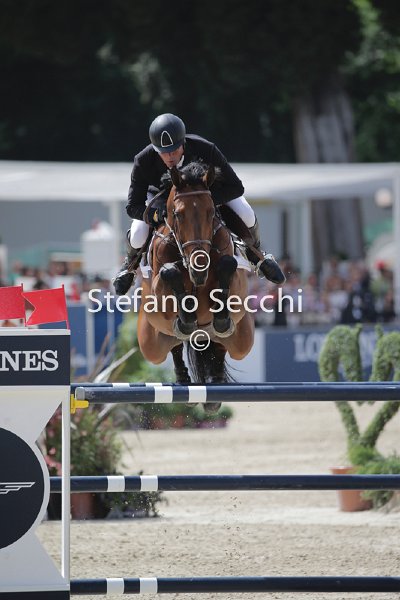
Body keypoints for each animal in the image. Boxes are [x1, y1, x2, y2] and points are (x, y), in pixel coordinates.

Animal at [137, 161, 254, 391]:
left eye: (211, 212)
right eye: (178, 214)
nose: (199, 265)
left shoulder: (235, 283)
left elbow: (228, 265)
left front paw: (220, 318)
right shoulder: (159, 295)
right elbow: (169, 272)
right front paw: (187, 318)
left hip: (242, 339)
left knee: (220, 345)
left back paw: (216, 379)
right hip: (151, 344)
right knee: (174, 346)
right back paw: (183, 375)